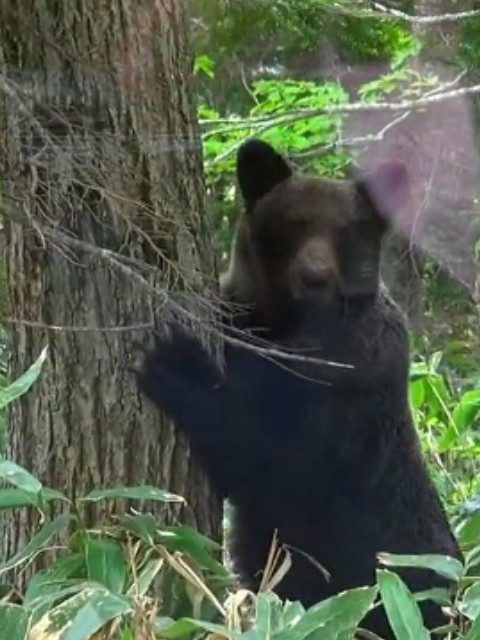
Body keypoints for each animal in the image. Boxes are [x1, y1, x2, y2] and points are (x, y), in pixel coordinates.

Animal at [136, 138, 462, 636]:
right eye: (294, 223)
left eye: (345, 231)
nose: (314, 276)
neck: (290, 323)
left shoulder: (342, 381)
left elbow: (265, 447)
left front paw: (174, 360)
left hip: (401, 582)